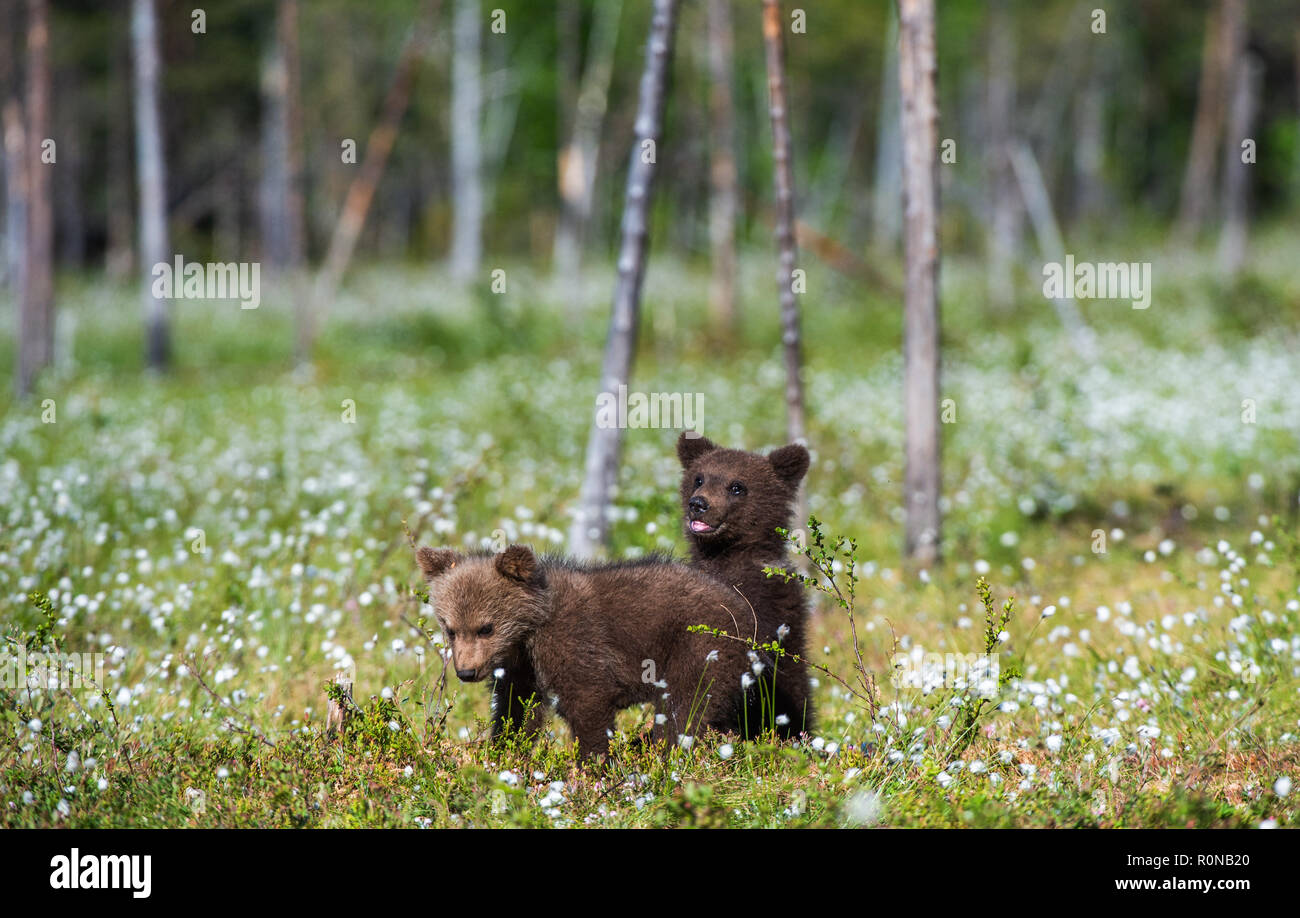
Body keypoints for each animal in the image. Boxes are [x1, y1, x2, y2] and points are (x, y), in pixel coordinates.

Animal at [415, 543, 775, 759]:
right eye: (450, 628)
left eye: (486, 627)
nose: (466, 671)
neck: (529, 632)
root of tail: (748, 616)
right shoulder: (521, 669)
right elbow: (516, 711)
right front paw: (503, 755)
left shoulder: (573, 641)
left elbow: (588, 700)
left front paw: (593, 766)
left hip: (699, 648)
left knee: (684, 710)